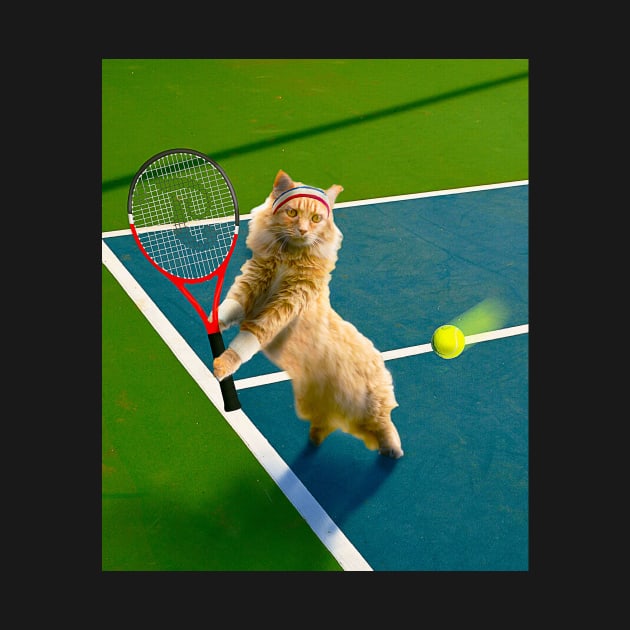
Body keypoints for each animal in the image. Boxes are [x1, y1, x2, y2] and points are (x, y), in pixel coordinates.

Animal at [212, 170, 404, 462]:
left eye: (315, 219)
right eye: (292, 213)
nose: (303, 230)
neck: (288, 256)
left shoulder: (286, 303)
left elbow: (249, 338)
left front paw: (224, 364)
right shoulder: (253, 280)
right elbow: (230, 306)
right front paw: (214, 321)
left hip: (370, 403)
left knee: (384, 424)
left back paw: (393, 449)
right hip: (322, 405)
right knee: (325, 423)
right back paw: (315, 437)